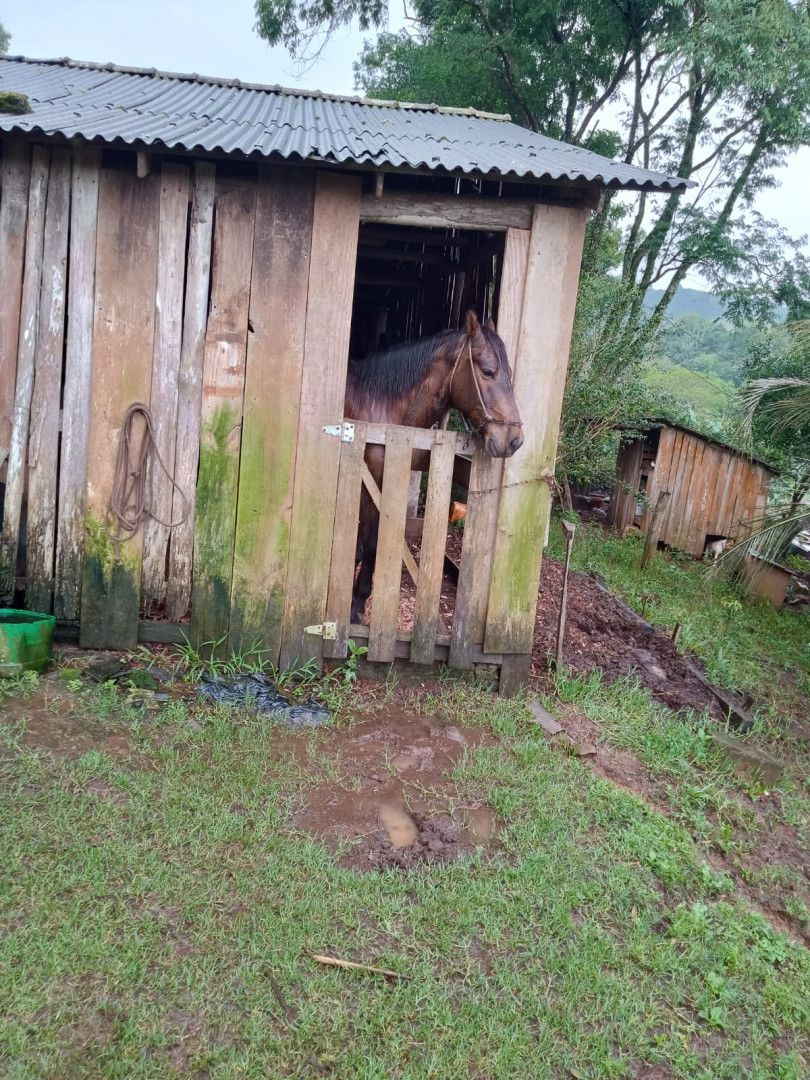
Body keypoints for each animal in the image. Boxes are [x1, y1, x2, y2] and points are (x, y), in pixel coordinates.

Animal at [343, 308, 522, 622]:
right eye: (488, 371)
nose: (513, 440)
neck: (381, 409)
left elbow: (372, 544)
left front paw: (359, 602)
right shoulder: (368, 483)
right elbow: (360, 543)